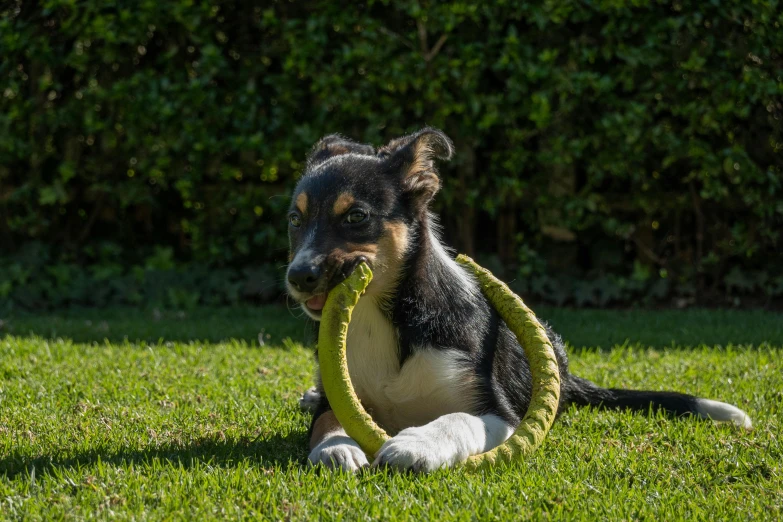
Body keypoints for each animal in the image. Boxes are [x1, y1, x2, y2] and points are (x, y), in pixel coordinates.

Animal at [284, 127, 752, 472]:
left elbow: (456, 420)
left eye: (356, 216)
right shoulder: (339, 390)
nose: (297, 277)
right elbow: (327, 417)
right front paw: (337, 447)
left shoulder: (500, 414)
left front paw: (416, 445)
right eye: (295, 219)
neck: (382, 316)